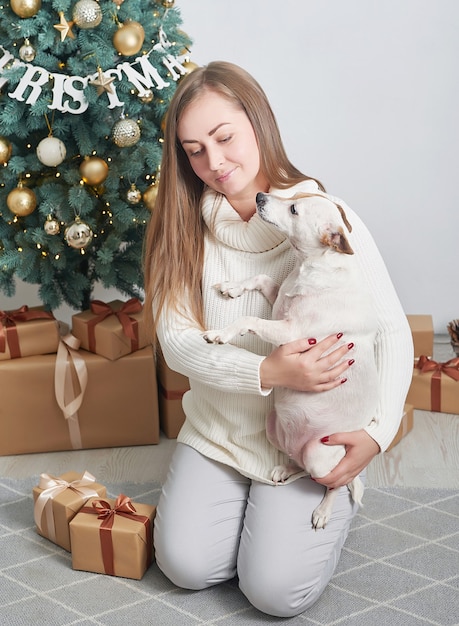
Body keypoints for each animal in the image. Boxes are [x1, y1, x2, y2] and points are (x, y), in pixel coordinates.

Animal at [203, 191, 380, 528]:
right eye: (295, 197)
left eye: (294, 209)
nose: (260, 196)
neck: (309, 267)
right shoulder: (278, 305)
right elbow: (259, 278)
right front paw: (232, 287)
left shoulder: (291, 333)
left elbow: (248, 320)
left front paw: (222, 334)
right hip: (273, 427)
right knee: (300, 466)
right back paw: (285, 469)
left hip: (318, 456)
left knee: (333, 482)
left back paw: (324, 511)